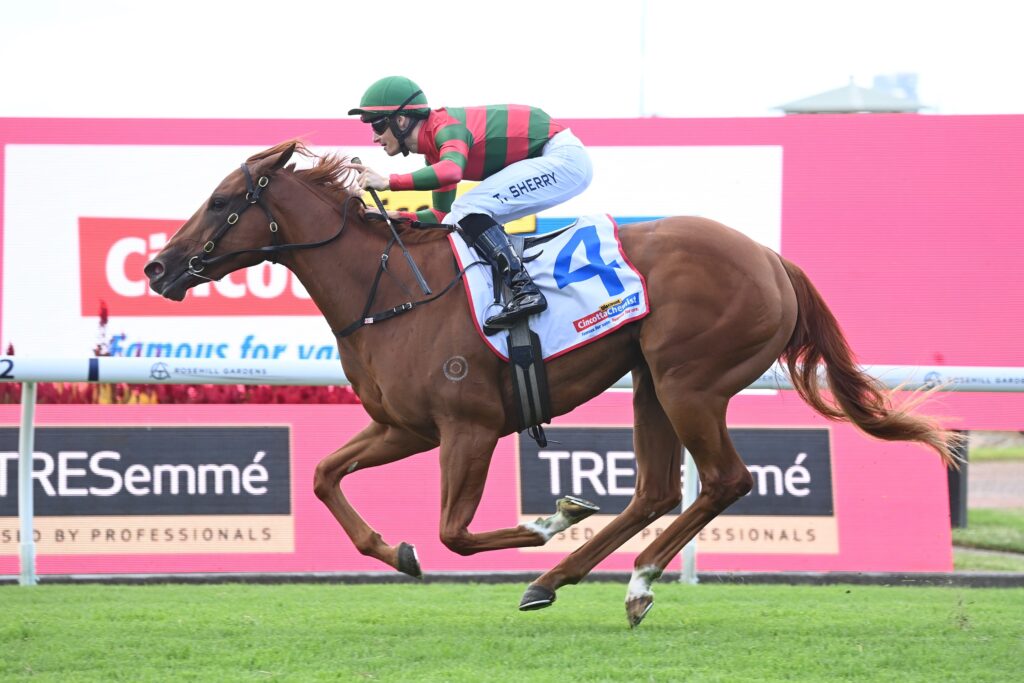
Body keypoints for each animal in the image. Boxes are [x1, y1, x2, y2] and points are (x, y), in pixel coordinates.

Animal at [144, 140, 959, 628]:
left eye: (222, 201)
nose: (157, 267)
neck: (394, 291)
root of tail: (768, 256)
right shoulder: (405, 425)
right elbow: (321, 474)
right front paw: (395, 551)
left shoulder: (466, 428)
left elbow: (455, 531)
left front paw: (549, 516)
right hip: (650, 382)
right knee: (656, 490)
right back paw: (562, 579)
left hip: (689, 380)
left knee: (724, 479)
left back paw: (628, 578)